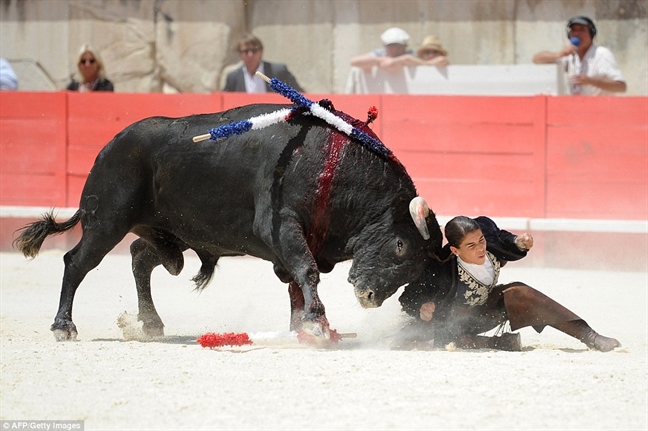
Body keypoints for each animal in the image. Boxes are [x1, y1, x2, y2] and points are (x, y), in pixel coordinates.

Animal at [15, 104, 442, 340]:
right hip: (106, 223)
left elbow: (296, 284)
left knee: (140, 257)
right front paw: (317, 325)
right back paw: (63, 327)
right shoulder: (282, 227)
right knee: (77, 263)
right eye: (400, 246)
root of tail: (109, 146)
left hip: (172, 237)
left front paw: (300, 326)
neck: (333, 166)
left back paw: (151, 323)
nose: (369, 298)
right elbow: (306, 271)